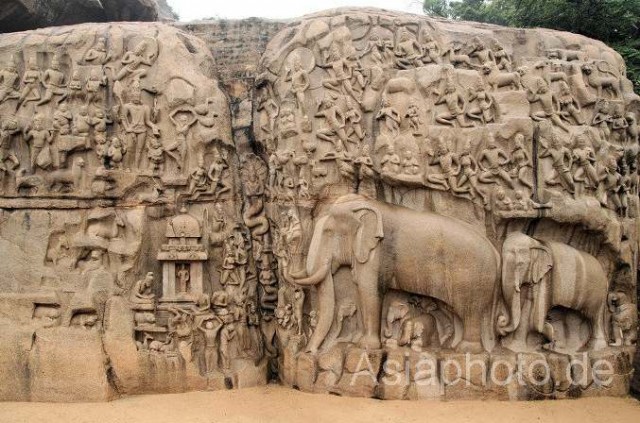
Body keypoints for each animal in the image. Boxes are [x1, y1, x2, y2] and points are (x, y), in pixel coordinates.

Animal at [281, 194, 500, 353]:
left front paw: (365, 347)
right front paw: (360, 342)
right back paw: (452, 347)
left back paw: (466, 350)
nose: (309, 353)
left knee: (470, 313)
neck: (367, 205)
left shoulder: (375, 252)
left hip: (472, 279)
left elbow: (368, 292)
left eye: (328, 232)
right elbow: (361, 291)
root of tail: (495, 251)